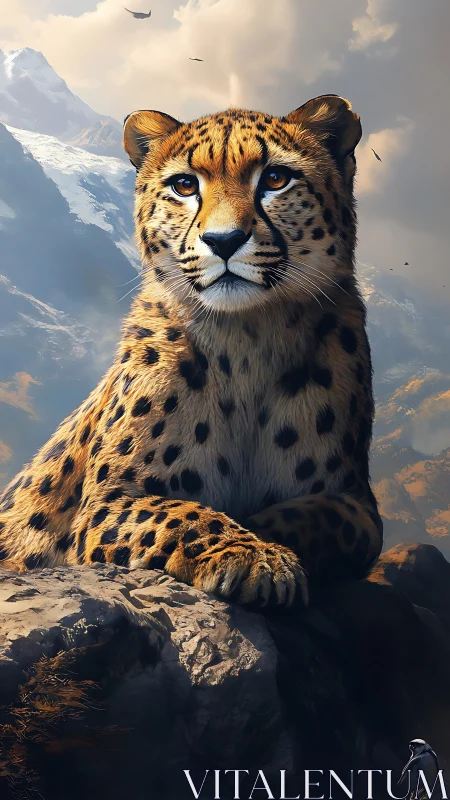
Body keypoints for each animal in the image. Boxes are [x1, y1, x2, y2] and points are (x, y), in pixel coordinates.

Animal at [0, 94, 383, 608]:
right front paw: (254, 556)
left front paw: (263, 540)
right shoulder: (107, 503)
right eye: (184, 185)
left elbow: (316, 517)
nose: (223, 241)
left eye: (275, 178)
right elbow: (183, 513)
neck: (248, 339)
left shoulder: (356, 501)